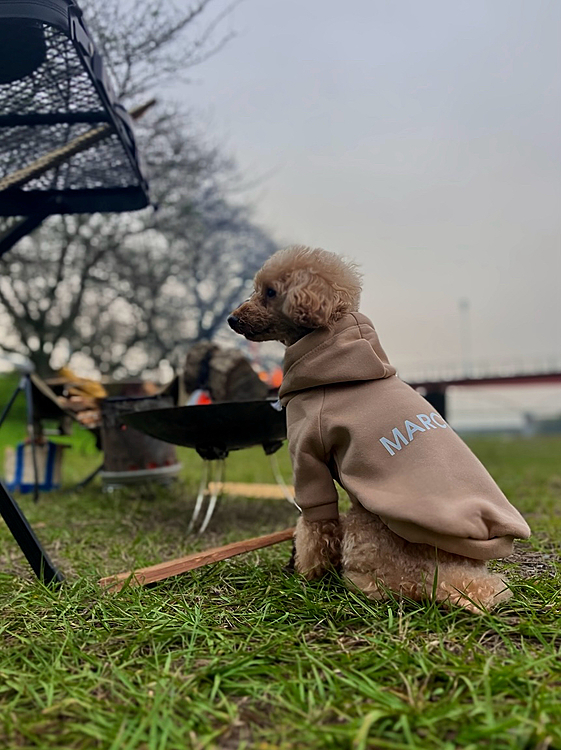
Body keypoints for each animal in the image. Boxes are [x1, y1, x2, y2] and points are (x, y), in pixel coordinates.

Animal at [226, 247, 528, 616]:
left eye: (270, 292)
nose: (232, 319)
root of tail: (454, 577)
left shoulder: (307, 452)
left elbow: (314, 522)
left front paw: (307, 574)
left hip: (366, 524)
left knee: (390, 584)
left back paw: (357, 582)